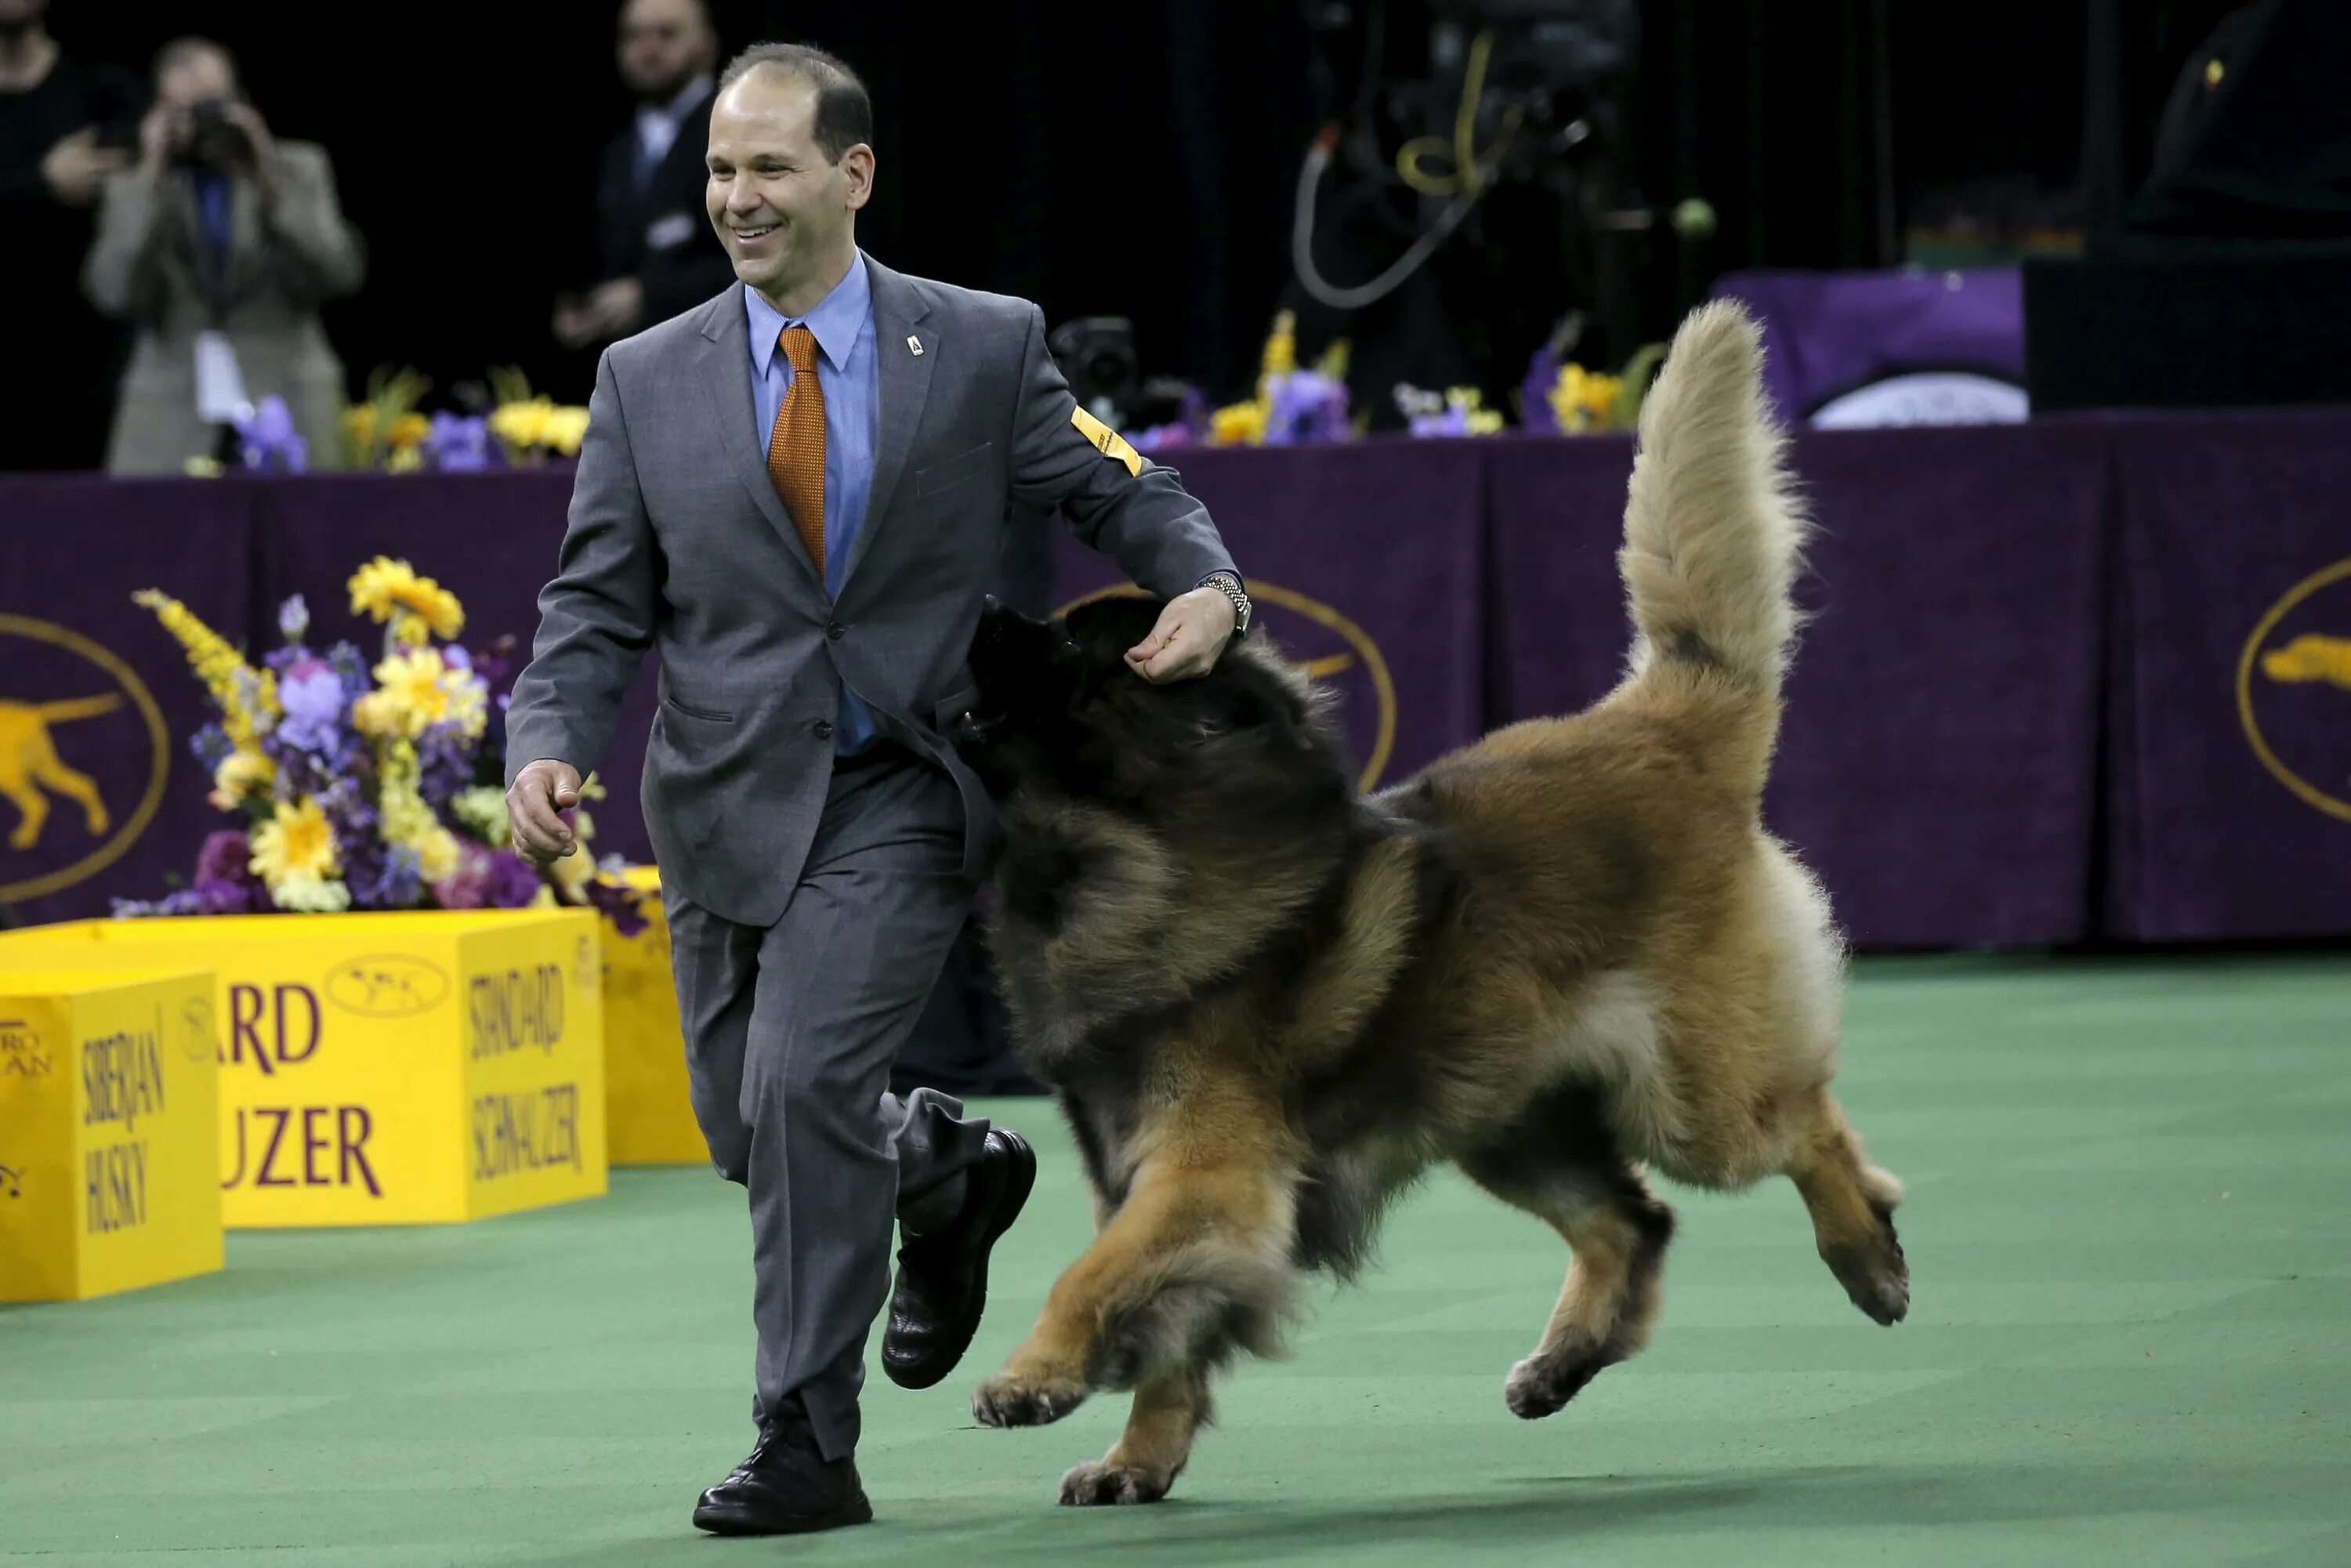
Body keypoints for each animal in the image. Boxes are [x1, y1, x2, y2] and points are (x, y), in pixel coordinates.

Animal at [950, 301, 1909, 1505]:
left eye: (1067, 650)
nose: (980, 607)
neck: (1143, 848)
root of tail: (1663, 724)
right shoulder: (1139, 1163)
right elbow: (1170, 1328)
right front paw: (1138, 1458)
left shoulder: (1205, 1171)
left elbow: (1093, 1276)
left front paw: (1032, 1378)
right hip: (1505, 1112)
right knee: (1634, 1220)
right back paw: (1561, 1362)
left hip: (1693, 1101)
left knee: (1801, 1129)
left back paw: (1868, 1260)